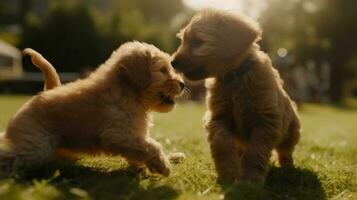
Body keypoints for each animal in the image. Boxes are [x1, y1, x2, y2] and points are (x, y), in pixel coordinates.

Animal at [0, 41, 184, 177]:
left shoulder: (131, 134)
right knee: (10, 157)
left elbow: (140, 149)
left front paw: (161, 162)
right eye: (162, 70)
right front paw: (163, 165)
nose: (183, 84)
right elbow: (151, 145)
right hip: (36, 146)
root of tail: (43, 93)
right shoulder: (118, 134)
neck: (127, 90)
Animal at [171, 8, 298, 182]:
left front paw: (249, 179)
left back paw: (287, 166)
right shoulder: (218, 117)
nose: (172, 62)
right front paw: (229, 171)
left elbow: (255, 151)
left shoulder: (265, 121)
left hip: (291, 130)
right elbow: (221, 142)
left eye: (198, 42)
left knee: (285, 150)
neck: (234, 77)